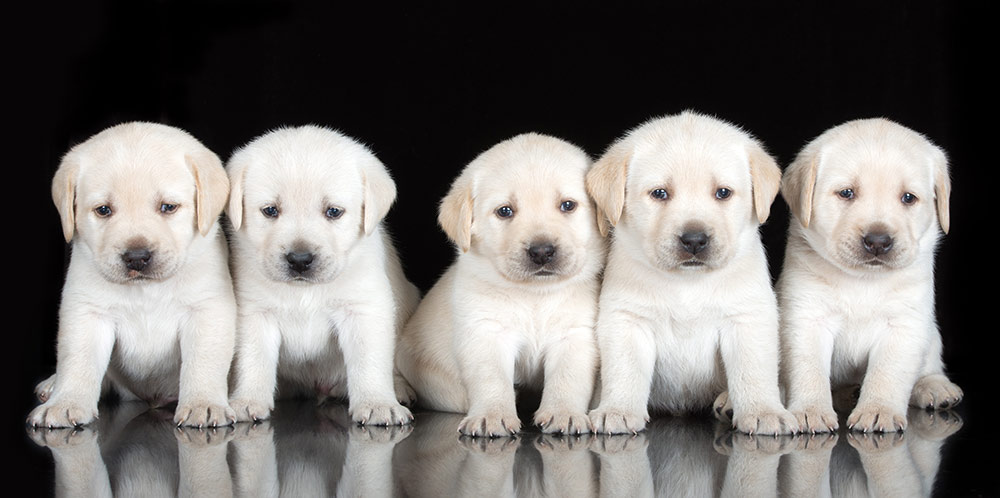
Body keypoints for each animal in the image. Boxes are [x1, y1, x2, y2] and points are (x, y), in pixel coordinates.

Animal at [27, 121, 236, 428]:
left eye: (168, 207)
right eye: (103, 210)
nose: (137, 256)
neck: (145, 289)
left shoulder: (207, 309)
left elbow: (204, 362)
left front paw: (203, 403)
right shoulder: (87, 312)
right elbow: (77, 359)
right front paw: (65, 403)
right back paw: (53, 385)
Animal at [226, 124, 418, 424]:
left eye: (334, 212)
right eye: (270, 210)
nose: (300, 260)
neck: (304, 290)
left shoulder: (363, 310)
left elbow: (369, 361)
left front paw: (377, 403)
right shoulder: (254, 313)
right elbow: (253, 359)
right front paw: (248, 400)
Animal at [396, 132, 600, 436]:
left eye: (567, 205)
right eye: (505, 211)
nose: (542, 251)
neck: (534, 295)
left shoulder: (574, 335)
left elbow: (567, 378)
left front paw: (564, 413)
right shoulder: (486, 333)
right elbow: (491, 378)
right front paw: (492, 416)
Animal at [584, 112, 796, 436]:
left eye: (723, 193)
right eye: (660, 193)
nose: (694, 240)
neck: (687, 282)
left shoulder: (748, 318)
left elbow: (753, 371)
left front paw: (764, 411)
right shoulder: (627, 320)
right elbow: (624, 370)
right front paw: (617, 410)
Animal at [780, 117, 960, 432]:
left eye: (908, 198)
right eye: (847, 193)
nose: (878, 241)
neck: (862, 281)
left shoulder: (904, 324)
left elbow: (887, 374)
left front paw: (878, 410)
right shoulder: (807, 318)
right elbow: (809, 370)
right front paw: (810, 410)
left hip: (931, 334)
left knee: (930, 364)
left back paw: (934, 386)